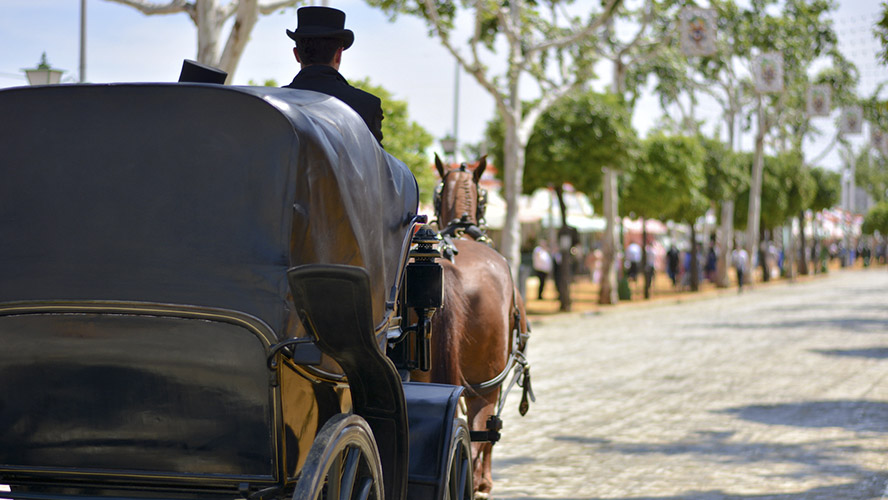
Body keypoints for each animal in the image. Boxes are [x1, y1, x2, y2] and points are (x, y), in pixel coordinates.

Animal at [412, 154, 532, 498]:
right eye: (485, 197)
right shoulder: (493, 379)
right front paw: (481, 481)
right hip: (488, 380)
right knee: (483, 428)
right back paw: (477, 483)